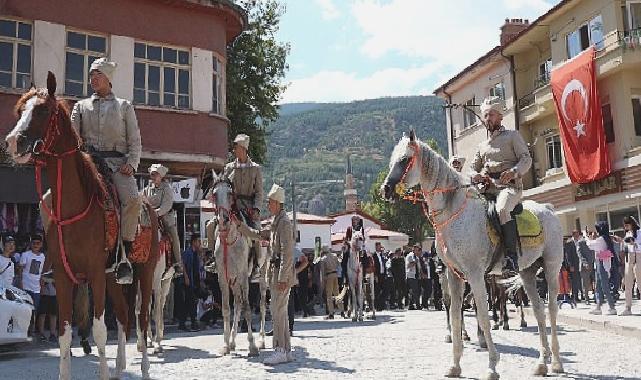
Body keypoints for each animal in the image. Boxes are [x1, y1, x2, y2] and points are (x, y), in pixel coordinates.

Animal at [4, 72, 158, 380]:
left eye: (43, 110)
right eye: (20, 110)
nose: (14, 141)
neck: (75, 205)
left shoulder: (96, 273)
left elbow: (98, 331)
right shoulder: (65, 278)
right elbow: (65, 333)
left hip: (145, 273)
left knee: (142, 318)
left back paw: (145, 369)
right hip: (113, 279)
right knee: (123, 315)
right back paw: (120, 367)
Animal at [210, 174, 260, 358]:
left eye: (230, 193)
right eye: (215, 194)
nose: (223, 220)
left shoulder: (244, 276)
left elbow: (247, 308)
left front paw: (252, 346)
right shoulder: (223, 278)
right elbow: (226, 309)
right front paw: (225, 345)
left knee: (261, 305)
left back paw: (261, 340)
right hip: (234, 282)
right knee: (237, 304)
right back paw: (232, 342)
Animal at [382, 131, 564, 380]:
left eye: (404, 160)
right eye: (392, 160)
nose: (386, 190)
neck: (454, 214)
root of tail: (549, 209)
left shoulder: (476, 275)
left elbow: (484, 317)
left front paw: (492, 366)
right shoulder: (454, 276)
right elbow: (456, 315)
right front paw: (455, 365)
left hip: (551, 267)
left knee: (552, 308)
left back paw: (556, 362)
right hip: (527, 272)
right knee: (538, 311)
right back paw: (541, 363)